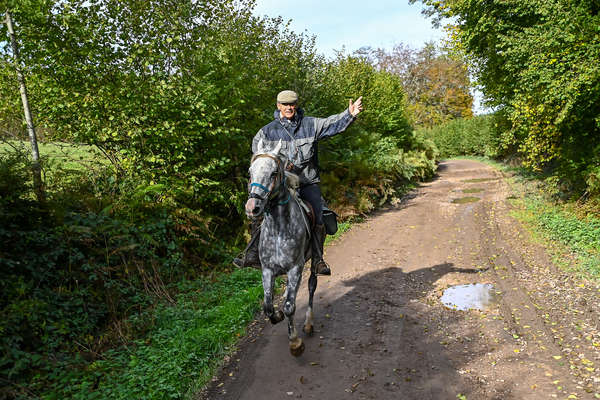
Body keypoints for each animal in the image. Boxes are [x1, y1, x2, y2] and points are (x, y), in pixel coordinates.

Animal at [244, 140, 318, 356]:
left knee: (311, 285)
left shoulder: (295, 269)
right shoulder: (267, 270)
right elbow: (268, 306)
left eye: (274, 172)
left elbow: (289, 307)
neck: (279, 228)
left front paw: (295, 342)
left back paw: (308, 323)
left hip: (314, 260)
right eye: (250, 172)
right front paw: (276, 315)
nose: (252, 208)